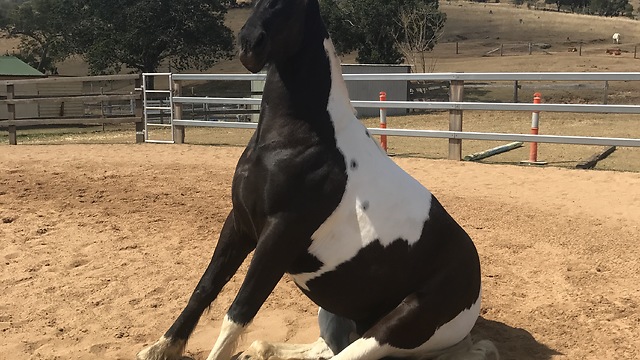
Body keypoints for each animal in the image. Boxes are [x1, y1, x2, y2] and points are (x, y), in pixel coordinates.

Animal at [135, 0, 498, 360]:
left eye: (294, 5)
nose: (250, 45)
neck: (299, 138)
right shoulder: (239, 223)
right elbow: (204, 289)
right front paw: (158, 349)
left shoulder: (279, 233)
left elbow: (239, 310)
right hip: (335, 313)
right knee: (324, 348)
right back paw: (259, 349)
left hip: (394, 326)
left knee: (343, 354)